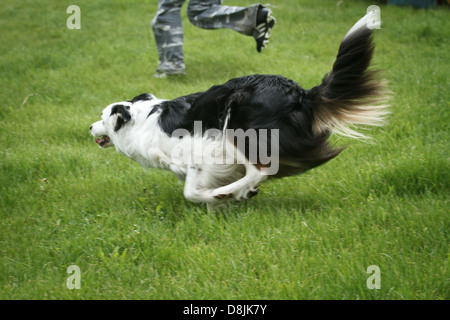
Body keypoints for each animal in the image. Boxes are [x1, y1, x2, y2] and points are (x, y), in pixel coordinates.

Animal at [90, 12, 386, 205]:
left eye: (102, 117)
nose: (90, 127)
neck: (140, 121)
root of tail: (301, 93)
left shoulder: (201, 153)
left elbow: (192, 191)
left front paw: (215, 197)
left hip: (238, 126)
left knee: (260, 169)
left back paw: (232, 191)